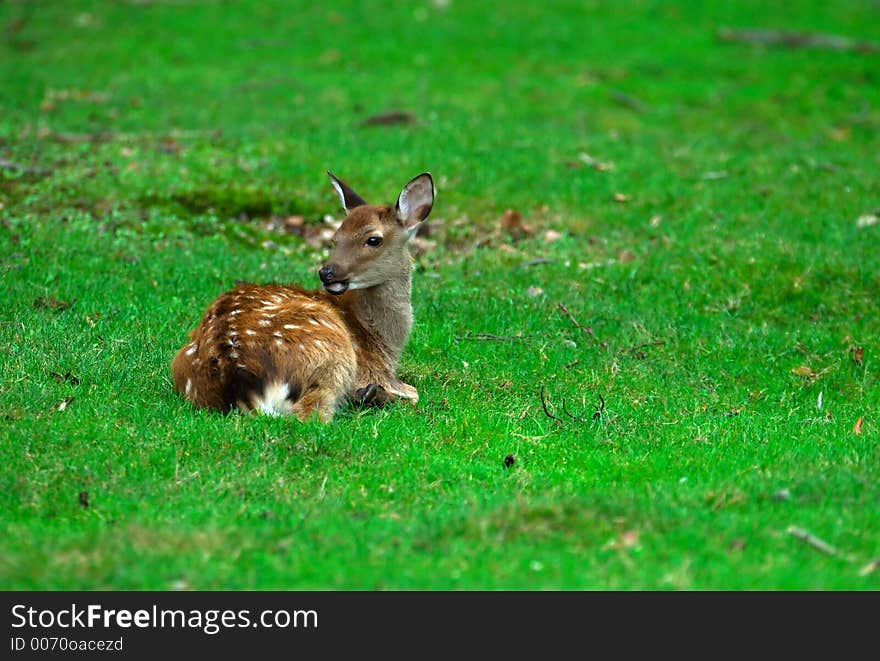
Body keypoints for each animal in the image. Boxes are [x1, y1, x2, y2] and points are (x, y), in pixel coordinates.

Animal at [170, 170, 434, 418]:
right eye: (335, 239)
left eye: (374, 240)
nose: (326, 272)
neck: (383, 343)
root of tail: (239, 382)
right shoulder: (373, 370)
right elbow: (414, 392)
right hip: (333, 353)